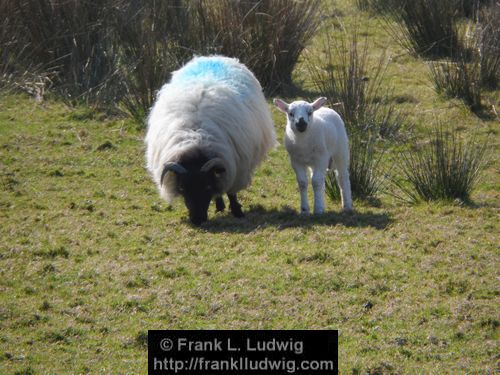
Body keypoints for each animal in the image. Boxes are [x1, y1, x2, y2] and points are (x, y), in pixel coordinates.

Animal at [145, 55, 278, 226]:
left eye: (207, 187)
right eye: (182, 189)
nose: (197, 220)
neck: (196, 139)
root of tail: (214, 57)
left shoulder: (236, 167)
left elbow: (231, 192)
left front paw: (237, 211)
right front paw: (221, 205)